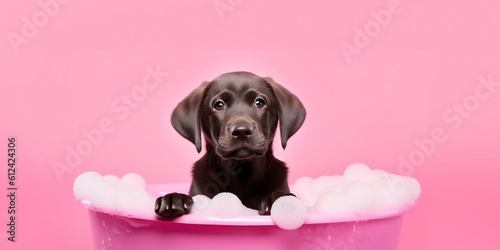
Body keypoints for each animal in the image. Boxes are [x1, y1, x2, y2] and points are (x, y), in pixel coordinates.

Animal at [155, 71, 304, 218]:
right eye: (219, 105)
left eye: (259, 102)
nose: (241, 131)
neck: (241, 173)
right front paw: (174, 198)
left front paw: (277, 199)